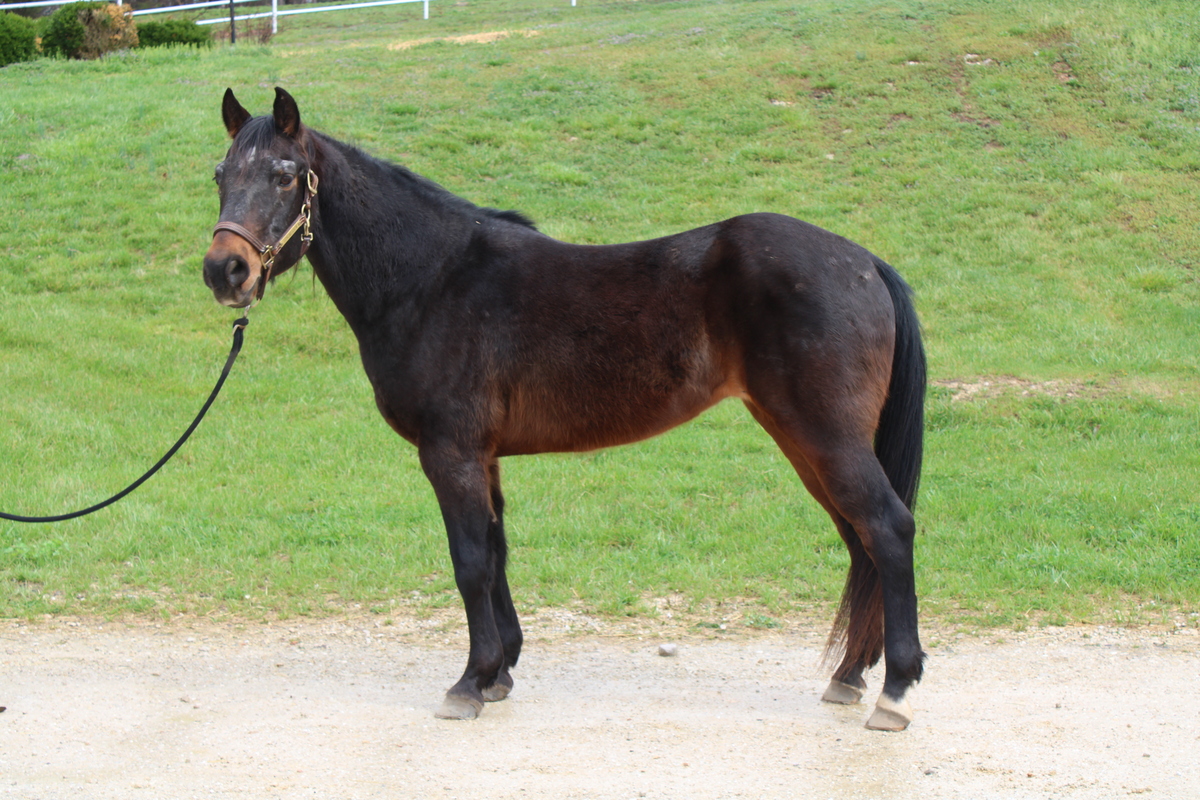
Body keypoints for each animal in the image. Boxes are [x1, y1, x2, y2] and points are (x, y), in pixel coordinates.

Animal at [203, 88, 927, 731]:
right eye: (220, 175)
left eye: (284, 176)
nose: (225, 271)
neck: (432, 278)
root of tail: (864, 262)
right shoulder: (484, 457)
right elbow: (496, 552)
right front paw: (499, 674)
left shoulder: (450, 453)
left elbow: (470, 562)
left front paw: (469, 682)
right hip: (805, 443)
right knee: (859, 541)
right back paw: (849, 678)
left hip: (826, 439)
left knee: (887, 529)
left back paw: (895, 692)